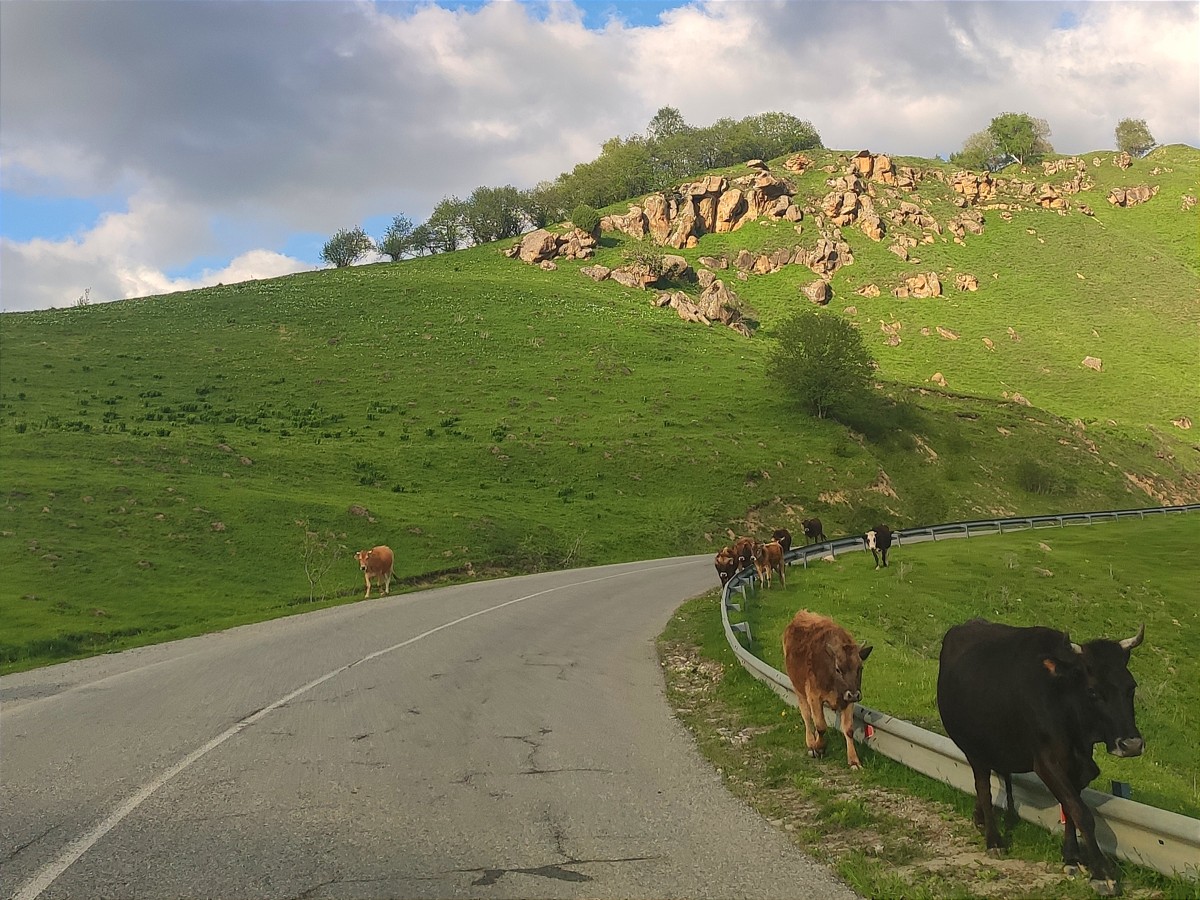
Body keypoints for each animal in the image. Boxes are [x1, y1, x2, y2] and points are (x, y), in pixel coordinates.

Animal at [936, 619, 1142, 897]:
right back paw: (994, 840)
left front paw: (1071, 858)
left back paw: (980, 819)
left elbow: (1069, 807)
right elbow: (1081, 812)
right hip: (973, 748)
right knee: (983, 787)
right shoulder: (1047, 762)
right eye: (1093, 691)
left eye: (1131, 687)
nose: (1131, 744)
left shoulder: (1077, 766)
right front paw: (1103, 874)